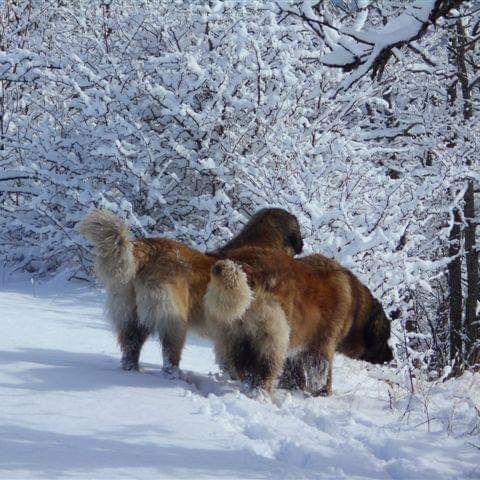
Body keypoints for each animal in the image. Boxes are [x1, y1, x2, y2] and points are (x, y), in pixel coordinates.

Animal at [203, 249, 394, 396]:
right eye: (385, 338)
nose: (391, 356)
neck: (355, 304)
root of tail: (247, 269)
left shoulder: (297, 345)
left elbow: (294, 370)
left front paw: (294, 388)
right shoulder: (322, 344)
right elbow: (322, 372)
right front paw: (323, 393)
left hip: (232, 335)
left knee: (239, 368)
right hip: (273, 338)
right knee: (265, 374)